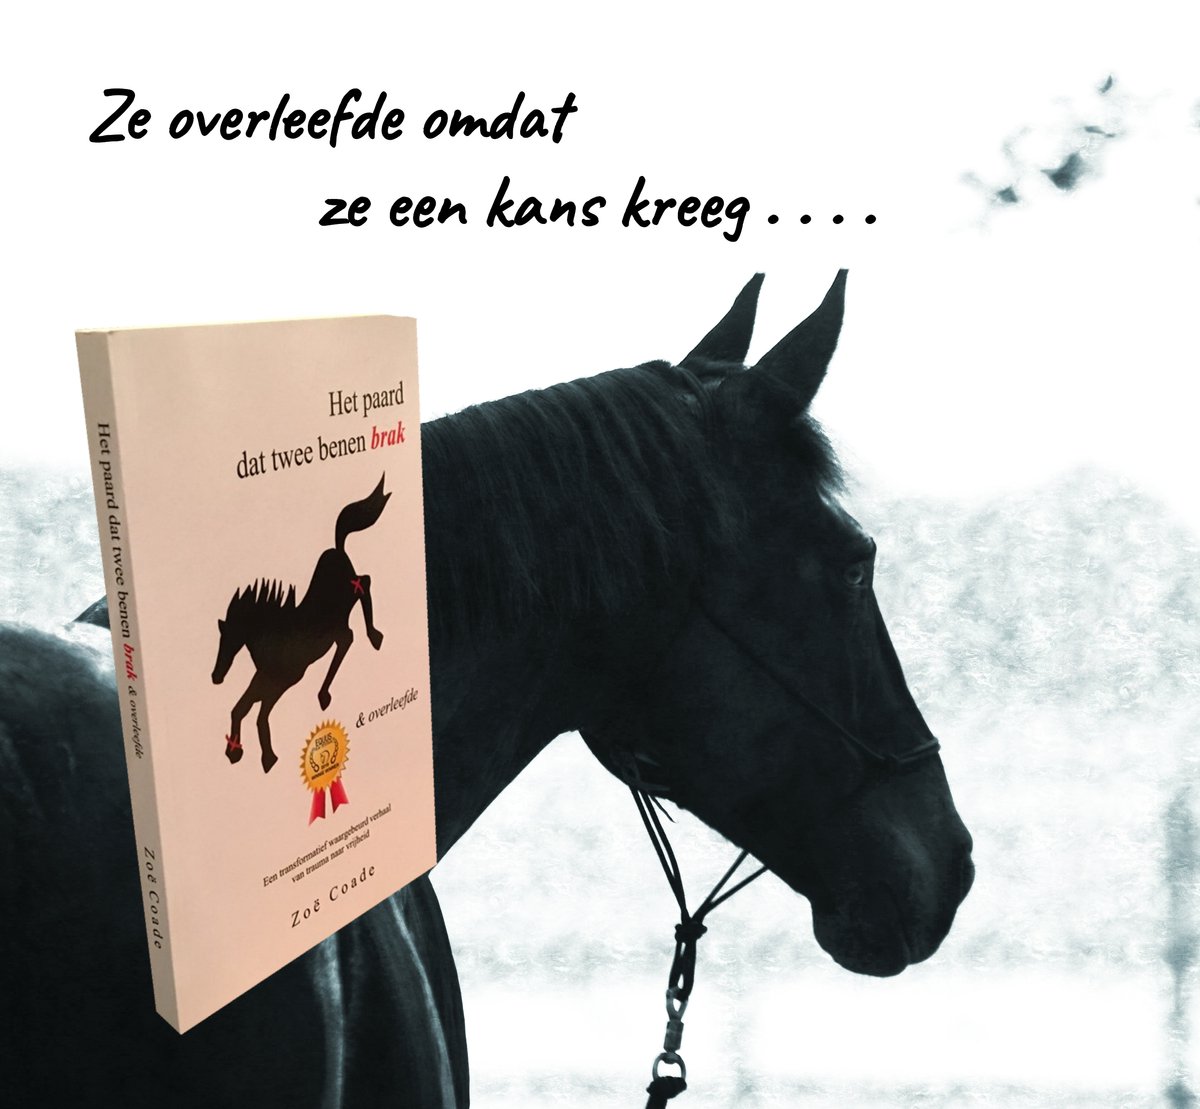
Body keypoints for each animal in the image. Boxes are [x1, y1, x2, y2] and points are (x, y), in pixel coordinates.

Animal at [212, 474, 391, 773]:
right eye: (220, 639)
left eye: (230, 639)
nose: (216, 677)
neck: (272, 637)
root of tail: (336, 549)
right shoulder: (264, 677)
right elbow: (241, 707)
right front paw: (234, 751)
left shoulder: (282, 681)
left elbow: (259, 714)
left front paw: (267, 757)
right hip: (338, 622)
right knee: (347, 637)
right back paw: (324, 694)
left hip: (350, 593)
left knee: (364, 584)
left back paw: (375, 637)